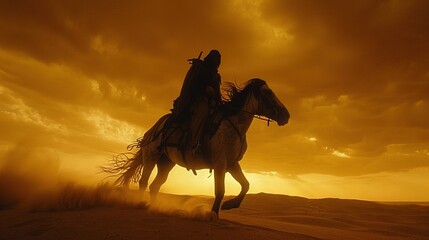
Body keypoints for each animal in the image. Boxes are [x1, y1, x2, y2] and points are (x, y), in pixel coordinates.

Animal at [105, 78, 290, 216]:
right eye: (268, 92)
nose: (286, 115)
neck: (231, 125)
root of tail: (152, 130)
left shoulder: (232, 164)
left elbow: (246, 185)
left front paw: (230, 205)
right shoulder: (220, 164)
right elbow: (220, 190)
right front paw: (213, 214)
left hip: (166, 163)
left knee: (155, 186)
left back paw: (155, 207)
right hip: (151, 157)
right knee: (144, 182)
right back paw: (141, 203)